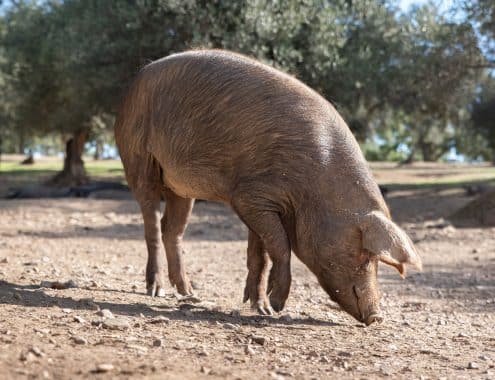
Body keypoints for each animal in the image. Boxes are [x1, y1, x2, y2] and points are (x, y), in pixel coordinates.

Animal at [113, 49, 422, 326]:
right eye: (363, 253)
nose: (376, 317)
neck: (313, 188)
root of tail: (136, 79)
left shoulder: (259, 205)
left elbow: (259, 252)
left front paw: (259, 307)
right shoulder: (250, 196)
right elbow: (281, 245)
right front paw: (276, 306)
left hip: (181, 188)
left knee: (172, 230)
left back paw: (188, 292)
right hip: (136, 156)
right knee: (152, 225)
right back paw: (155, 291)